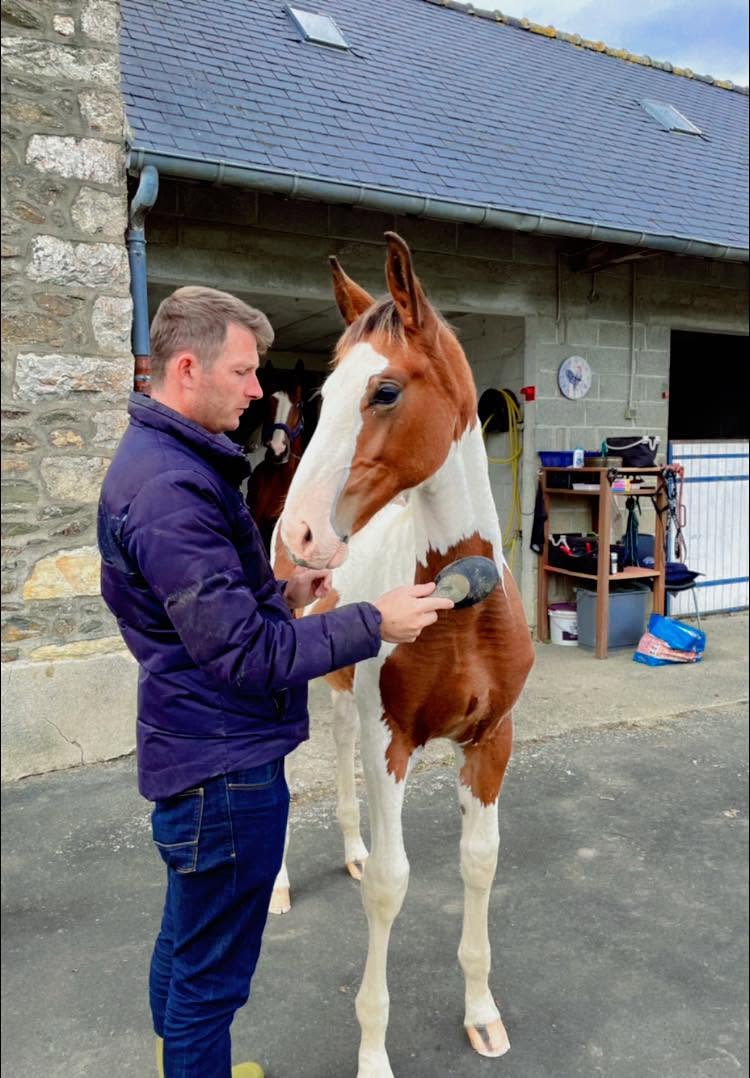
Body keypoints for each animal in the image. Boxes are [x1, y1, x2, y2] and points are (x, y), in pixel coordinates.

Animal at [278, 233, 535, 1075]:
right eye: (321, 396)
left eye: (384, 391)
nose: (299, 536)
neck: (460, 598)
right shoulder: (394, 740)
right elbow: (391, 886)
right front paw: (372, 1055)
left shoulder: (490, 741)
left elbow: (480, 858)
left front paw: (483, 1015)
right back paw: (277, 888)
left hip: (342, 686)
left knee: (337, 746)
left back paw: (351, 847)